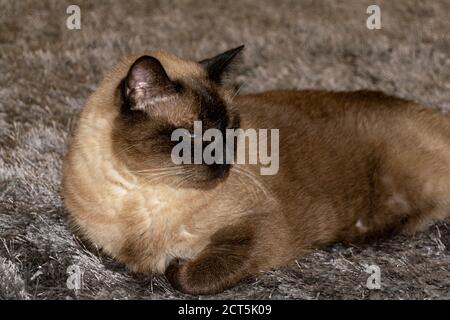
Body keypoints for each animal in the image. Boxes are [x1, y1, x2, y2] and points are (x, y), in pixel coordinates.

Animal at [63, 45, 450, 296]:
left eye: (231, 129)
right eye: (195, 136)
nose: (224, 163)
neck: (140, 192)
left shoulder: (260, 227)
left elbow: (189, 276)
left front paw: (171, 266)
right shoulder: (89, 238)